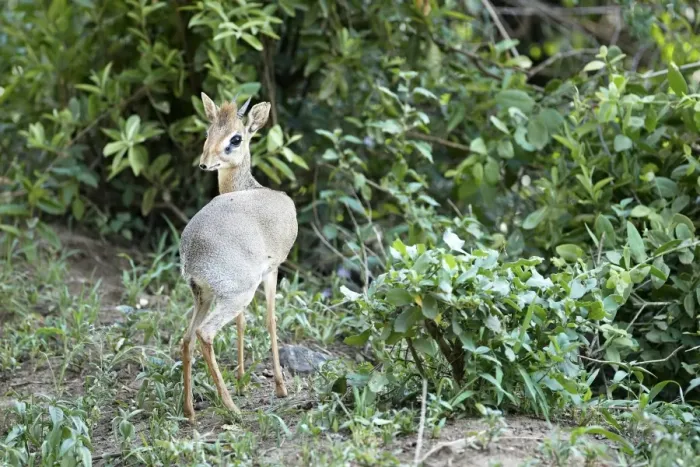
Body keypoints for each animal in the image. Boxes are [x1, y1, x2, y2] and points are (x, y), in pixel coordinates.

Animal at [179, 93, 298, 422]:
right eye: (209, 131)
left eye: (236, 137)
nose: (205, 164)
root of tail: (190, 253)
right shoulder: (272, 270)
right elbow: (270, 320)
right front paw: (280, 387)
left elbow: (244, 323)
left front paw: (243, 379)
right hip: (235, 294)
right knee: (205, 334)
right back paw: (231, 408)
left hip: (204, 296)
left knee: (187, 338)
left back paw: (190, 410)